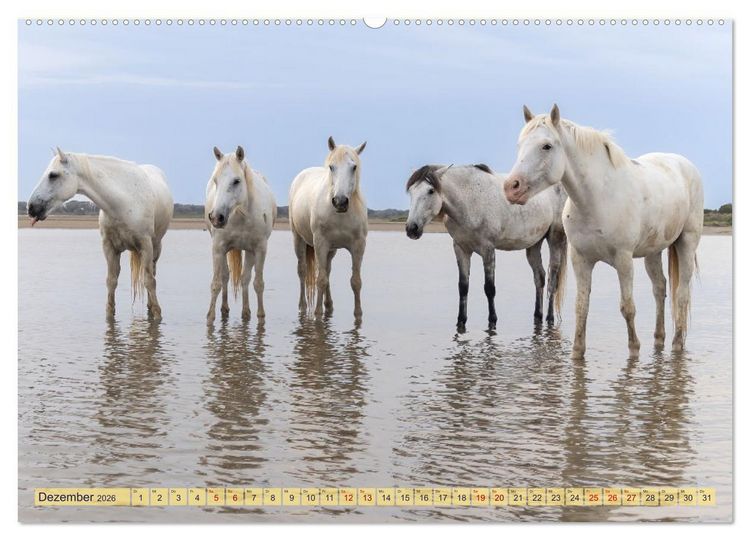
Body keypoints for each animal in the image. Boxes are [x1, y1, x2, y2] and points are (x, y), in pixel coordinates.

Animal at [27, 148, 174, 321]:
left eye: (53, 175)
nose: (31, 207)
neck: (123, 201)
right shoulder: (109, 247)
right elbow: (111, 281)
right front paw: (110, 316)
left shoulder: (145, 245)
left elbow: (149, 281)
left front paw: (157, 315)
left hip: (156, 247)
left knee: (152, 274)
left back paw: (151, 306)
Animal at [205, 145, 277, 323]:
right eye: (215, 180)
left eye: (236, 181)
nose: (216, 217)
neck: (240, 215)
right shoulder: (218, 248)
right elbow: (216, 283)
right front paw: (210, 317)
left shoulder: (260, 249)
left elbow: (258, 283)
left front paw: (260, 316)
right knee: (226, 276)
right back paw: (224, 308)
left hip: (250, 251)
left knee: (245, 279)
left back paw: (246, 312)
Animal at [289, 136, 367, 321]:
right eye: (332, 167)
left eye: (354, 167)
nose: (340, 201)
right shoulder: (320, 243)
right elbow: (321, 280)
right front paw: (318, 314)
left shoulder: (358, 246)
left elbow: (355, 281)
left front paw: (358, 315)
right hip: (299, 239)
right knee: (303, 271)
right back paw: (303, 306)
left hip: (331, 250)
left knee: (328, 270)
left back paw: (329, 305)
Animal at [405, 163, 568, 332]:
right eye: (411, 191)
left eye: (430, 190)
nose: (412, 229)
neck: (470, 199)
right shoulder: (461, 249)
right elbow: (463, 286)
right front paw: (461, 321)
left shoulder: (488, 250)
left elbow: (489, 288)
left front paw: (492, 321)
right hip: (534, 244)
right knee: (539, 278)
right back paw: (538, 316)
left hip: (555, 239)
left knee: (552, 280)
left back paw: (550, 318)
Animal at [504, 105, 703, 358]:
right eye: (520, 145)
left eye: (546, 146)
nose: (511, 187)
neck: (597, 199)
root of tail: (685, 165)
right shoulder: (581, 259)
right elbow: (581, 307)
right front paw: (577, 352)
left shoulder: (623, 259)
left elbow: (627, 307)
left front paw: (634, 349)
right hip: (653, 251)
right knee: (660, 288)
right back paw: (659, 340)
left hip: (686, 242)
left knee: (682, 294)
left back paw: (677, 343)